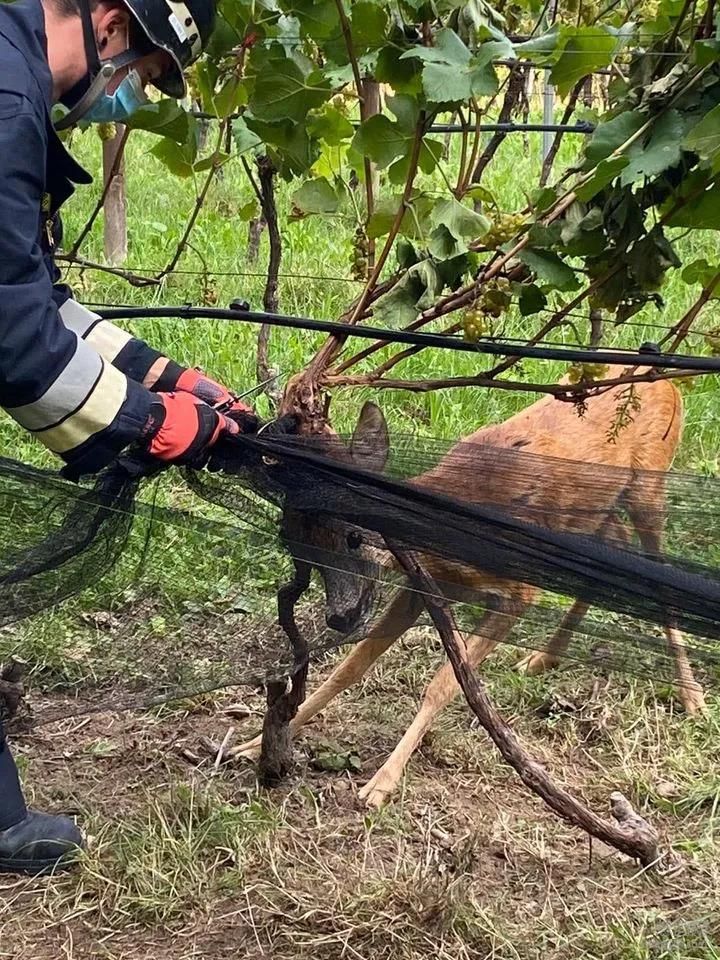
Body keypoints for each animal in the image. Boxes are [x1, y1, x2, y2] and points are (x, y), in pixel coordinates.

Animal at [229, 368, 704, 808]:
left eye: (354, 536)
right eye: (295, 540)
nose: (339, 616)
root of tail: (669, 383)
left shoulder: (517, 592)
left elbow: (444, 684)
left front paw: (381, 783)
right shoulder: (421, 587)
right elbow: (351, 667)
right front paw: (253, 743)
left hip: (650, 483)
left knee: (657, 574)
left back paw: (691, 697)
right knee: (612, 548)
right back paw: (542, 658)